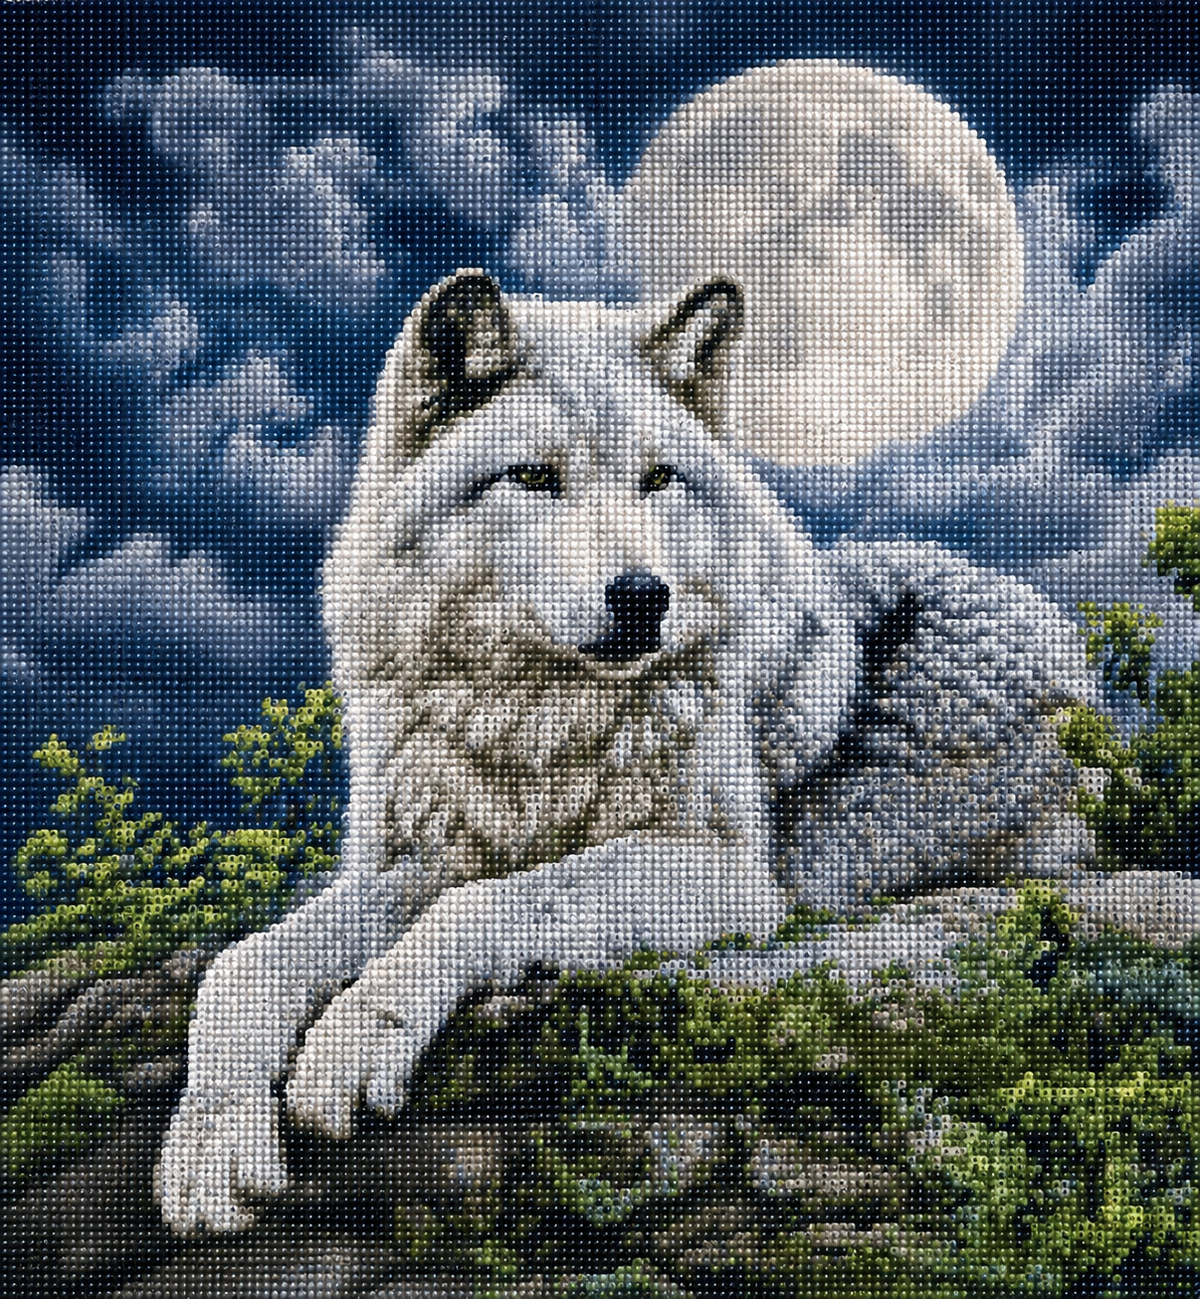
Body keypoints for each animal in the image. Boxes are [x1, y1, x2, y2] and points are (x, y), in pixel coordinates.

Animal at [158, 270, 1111, 1236]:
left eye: (657, 479)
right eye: (534, 476)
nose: (645, 596)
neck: (535, 727)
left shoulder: (731, 876)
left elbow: (488, 905)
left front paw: (353, 1041)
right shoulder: (424, 856)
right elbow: (242, 966)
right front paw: (210, 1139)